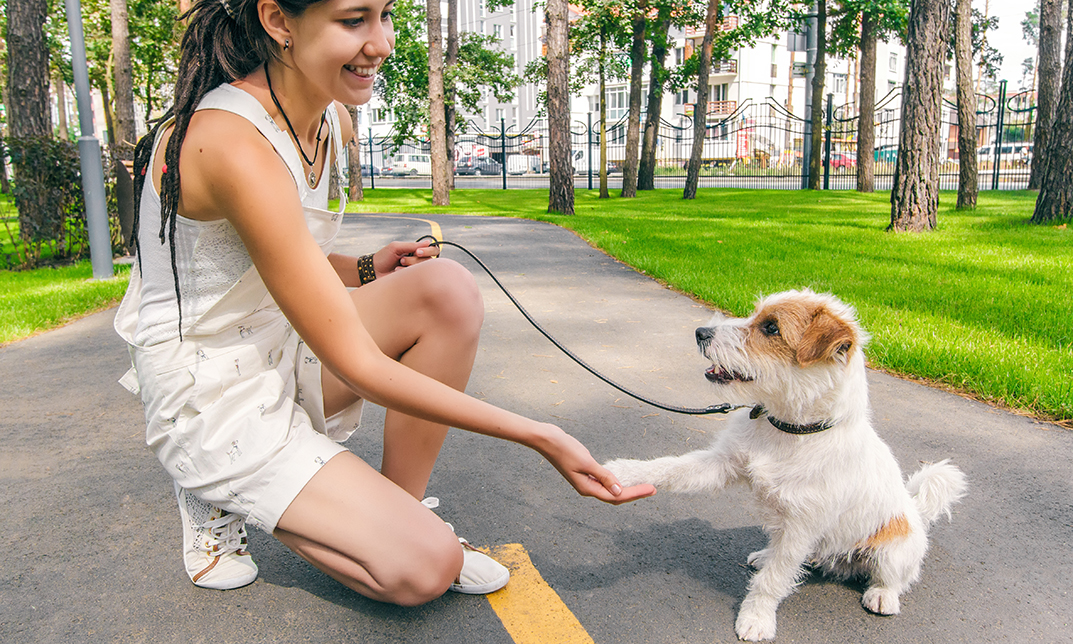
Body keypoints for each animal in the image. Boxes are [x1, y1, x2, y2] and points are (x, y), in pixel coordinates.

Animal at [609, 289, 969, 639]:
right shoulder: (722, 464)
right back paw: (765, 555)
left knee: (894, 578)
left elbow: (773, 580)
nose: (700, 332)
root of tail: (915, 510)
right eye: (755, 315)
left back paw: (882, 595)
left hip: (894, 551)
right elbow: (669, 467)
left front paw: (756, 618)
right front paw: (621, 471)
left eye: (772, 328)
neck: (789, 429)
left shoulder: (801, 527)